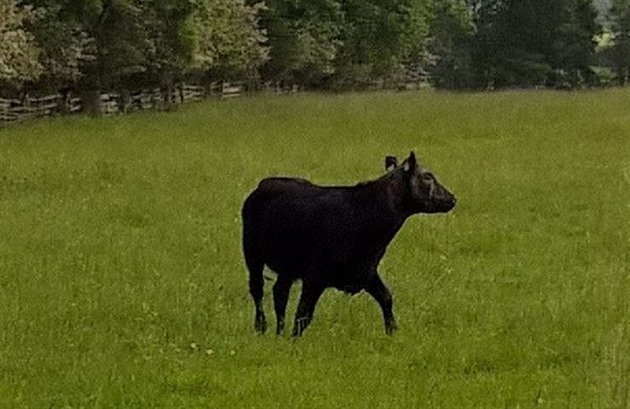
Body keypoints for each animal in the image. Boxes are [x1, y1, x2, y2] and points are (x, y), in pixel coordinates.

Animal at [241, 151, 454, 336]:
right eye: (427, 176)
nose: (452, 198)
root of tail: (263, 185)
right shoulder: (315, 276)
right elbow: (303, 314)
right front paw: (294, 342)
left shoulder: (366, 271)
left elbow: (386, 297)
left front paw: (392, 332)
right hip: (252, 253)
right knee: (257, 289)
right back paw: (261, 327)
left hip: (288, 267)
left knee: (279, 293)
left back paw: (278, 332)